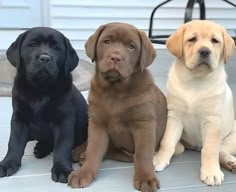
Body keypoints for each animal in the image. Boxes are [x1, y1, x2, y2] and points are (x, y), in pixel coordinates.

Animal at [0, 27, 88, 183]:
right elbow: (14, 142)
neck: (40, 89)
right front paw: (8, 163)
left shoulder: (64, 120)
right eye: (32, 45)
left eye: (56, 48)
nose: (45, 58)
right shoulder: (19, 118)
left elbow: (62, 145)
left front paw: (61, 169)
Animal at [153, 19, 236, 186]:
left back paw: (231, 162)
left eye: (215, 41)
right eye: (192, 39)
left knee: (221, 150)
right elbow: (167, 141)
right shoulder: (174, 116)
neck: (195, 81)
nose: (204, 51)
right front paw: (159, 159)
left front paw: (211, 172)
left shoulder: (212, 121)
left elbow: (210, 149)